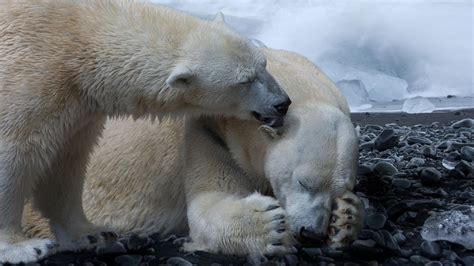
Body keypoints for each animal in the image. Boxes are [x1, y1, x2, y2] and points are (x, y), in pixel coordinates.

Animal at [0, 0, 288, 262]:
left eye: (263, 64)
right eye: (245, 80)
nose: (282, 103)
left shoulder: (77, 108)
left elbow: (66, 164)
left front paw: (91, 233)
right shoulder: (29, 76)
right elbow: (13, 155)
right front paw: (23, 248)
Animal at [24, 47, 364, 256]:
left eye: (340, 188)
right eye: (302, 182)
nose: (310, 232)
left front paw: (345, 218)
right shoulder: (208, 132)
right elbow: (209, 203)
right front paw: (270, 226)